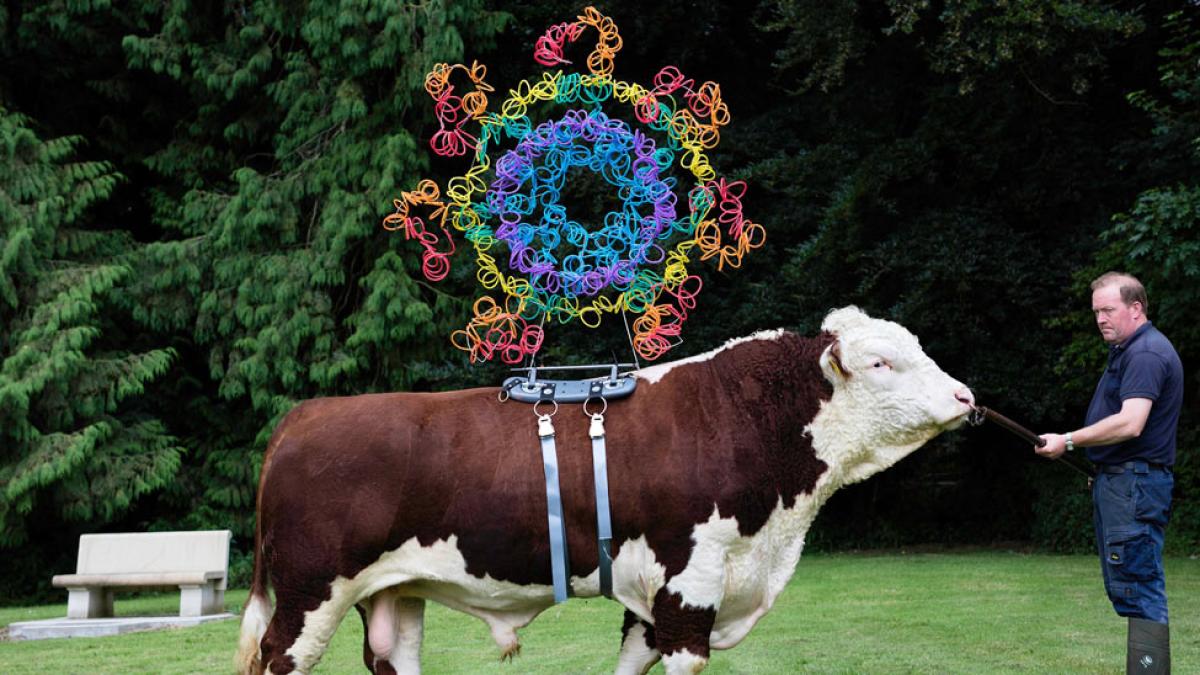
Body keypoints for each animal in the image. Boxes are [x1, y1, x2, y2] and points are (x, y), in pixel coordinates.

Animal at [231, 306, 974, 672]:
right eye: (881, 363)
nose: (967, 396)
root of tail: (305, 414)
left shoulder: (657, 597)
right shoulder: (689, 583)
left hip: (393, 590)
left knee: (393, 654)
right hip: (309, 591)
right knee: (282, 658)